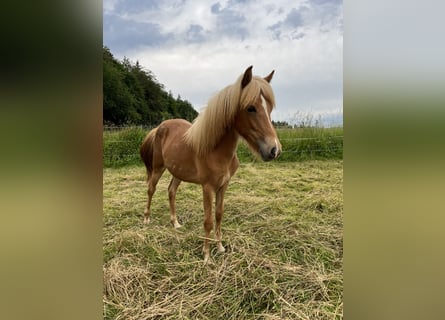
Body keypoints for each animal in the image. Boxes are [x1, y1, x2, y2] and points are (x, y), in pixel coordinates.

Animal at [139, 65, 280, 262]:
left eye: (270, 108)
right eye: (250, 108)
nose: (273, 150)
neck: (216, 150)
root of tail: (159, 127)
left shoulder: (223, 185)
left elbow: (219, 215)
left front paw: (220, 247)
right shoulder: (208, 188)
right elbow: (208, 220)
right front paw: (206, 255)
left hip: (177, 172)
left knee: (171, 191)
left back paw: (176, 223)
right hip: (158, 168)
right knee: (151, 189)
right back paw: (146, 219)